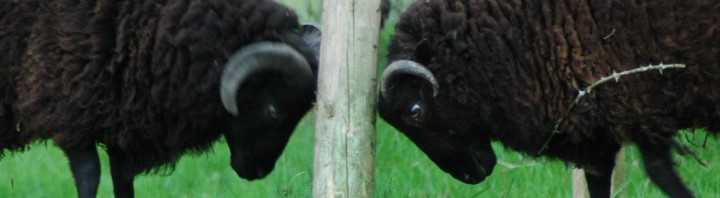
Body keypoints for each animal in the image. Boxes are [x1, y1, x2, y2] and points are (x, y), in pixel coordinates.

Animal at [0, 0, 320, 196]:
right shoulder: (69, 107)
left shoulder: (124, 119)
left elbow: (123, 180)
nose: (257, 172)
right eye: (273, 110)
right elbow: (90, 175)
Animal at [380, 0, 716, 197]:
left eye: (414, 111)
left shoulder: (642, 101)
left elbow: (659, 172)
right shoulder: (601, 125)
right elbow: (600, 184)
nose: (469, 176)